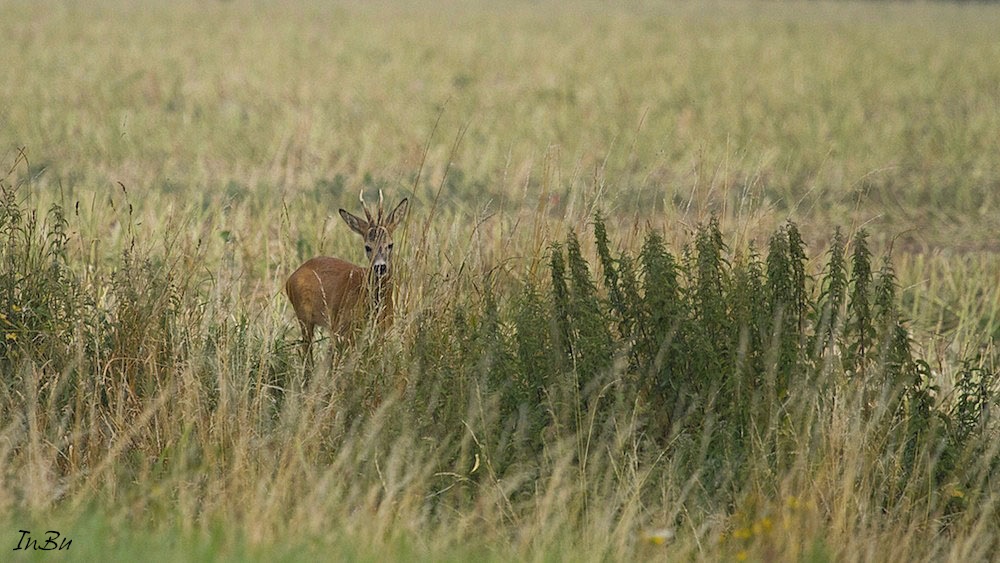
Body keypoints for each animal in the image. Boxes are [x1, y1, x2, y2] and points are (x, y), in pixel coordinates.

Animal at [286, 191, 410, 356]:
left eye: (390, 245)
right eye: (367, 247)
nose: (380, 267)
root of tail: (290, 278)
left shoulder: (385, 328)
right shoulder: (343, 328)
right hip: (305, 317)